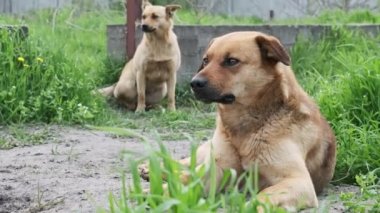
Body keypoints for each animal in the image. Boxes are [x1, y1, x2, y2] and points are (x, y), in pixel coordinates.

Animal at [140, 30, 336, 211]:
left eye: (231, 61)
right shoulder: (218, 170)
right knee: (188, 165)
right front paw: (159, 193)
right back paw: (151, 169)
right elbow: (188, 183)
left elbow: (264, 195)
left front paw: (252, 206)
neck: (247, 128)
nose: (194, 83)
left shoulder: (298, 180)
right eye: (205, 60)